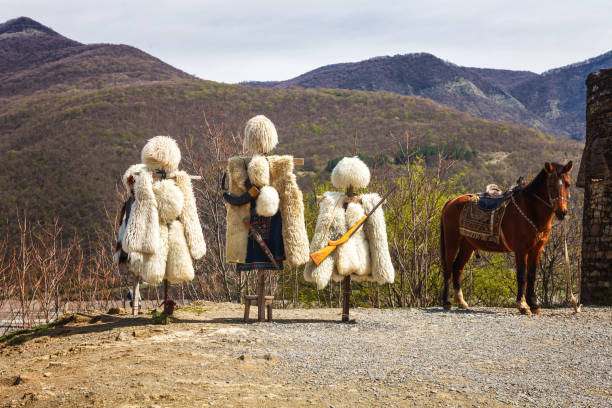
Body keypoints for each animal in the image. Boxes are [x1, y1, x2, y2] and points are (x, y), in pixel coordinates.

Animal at [440, 161, 572, 314]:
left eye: (567, 184)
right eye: (550, 185)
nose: (562, 212)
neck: (530, 209)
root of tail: (451, 201)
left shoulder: (537, 249)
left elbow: (532, 275)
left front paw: (534, 304)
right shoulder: (521, 249)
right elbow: (521, 275)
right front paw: (523, 305)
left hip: (467, 245)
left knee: (457, 267)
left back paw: (461, 302)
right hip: (452, 241)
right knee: (448, 268)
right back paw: (446, 302)